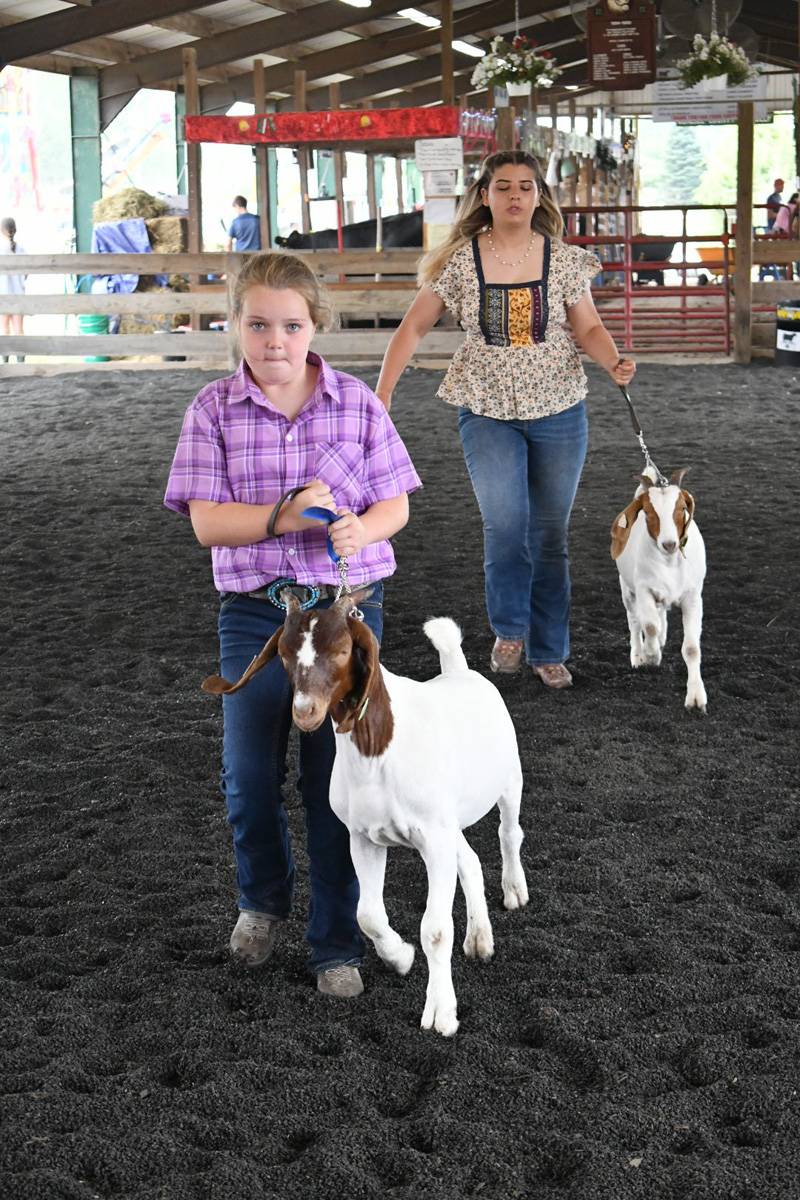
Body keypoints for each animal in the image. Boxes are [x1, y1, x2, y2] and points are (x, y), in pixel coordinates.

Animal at [200, 595, 527, 1036]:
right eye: (283, 653)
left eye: (341, 650)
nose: (305, 711)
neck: (379, 750)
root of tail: (458, 670)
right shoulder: (364, 837)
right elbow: (367, 915)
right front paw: (400, 956)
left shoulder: (433, 839)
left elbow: (435, 929)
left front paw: (441, 1013)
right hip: (449, 821)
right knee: (471, 861)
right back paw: (479, 938)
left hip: (508, 780)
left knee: (510, 833)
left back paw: (514, 890)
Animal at [614, 468, 705, 710]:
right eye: (647, 511)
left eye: (682, 508)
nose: (669, 544)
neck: (670, 561)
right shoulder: (643, 589)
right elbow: (649, 626)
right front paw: (651, 656)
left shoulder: (693, 596)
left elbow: (692, 648)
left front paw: (696, 697)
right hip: (627, 589)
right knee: (635, 621)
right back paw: (638, 655)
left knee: (661, 612)